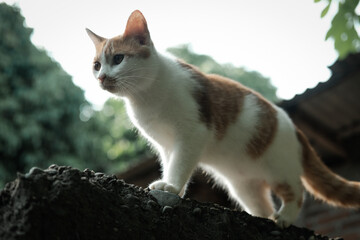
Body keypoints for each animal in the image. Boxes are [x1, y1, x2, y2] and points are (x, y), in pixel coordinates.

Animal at [86, 9, 360, 227]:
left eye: (118, 59)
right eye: (97, 65)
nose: (101, 78)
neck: (145, 95)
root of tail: (296, 129)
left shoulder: (192, 134)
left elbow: (180, 164)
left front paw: (171, 187)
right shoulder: (165, 145)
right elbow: (171, 163)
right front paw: (173, 188)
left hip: (279, 169)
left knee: (297, 191)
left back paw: (284, 218)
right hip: (243, 185)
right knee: (263, 205)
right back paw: (262, 218)